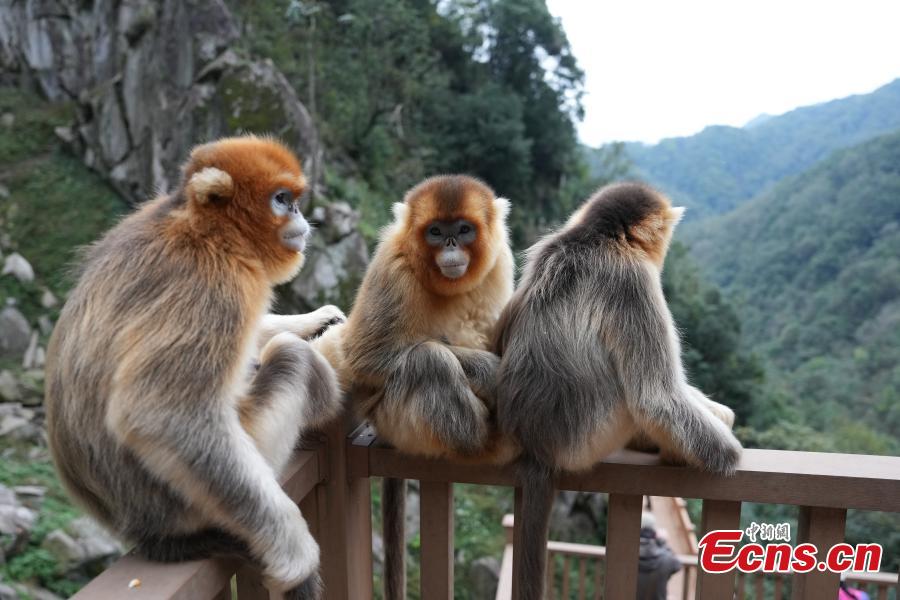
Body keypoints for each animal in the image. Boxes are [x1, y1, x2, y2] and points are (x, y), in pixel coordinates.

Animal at [45, 136, 348, 600]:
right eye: (282, 200)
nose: (300, 215)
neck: (210, 231)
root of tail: (141, 529)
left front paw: (316, 318)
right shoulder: (212, 281)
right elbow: (163, 415)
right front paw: (296, 557)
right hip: (204, 493)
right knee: (293, 360)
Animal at [496, 183, 740, 600]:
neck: (593, 238)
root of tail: (538, 447)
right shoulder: (632, 279)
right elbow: (656, 398)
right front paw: (730, 455)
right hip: (596, 435)